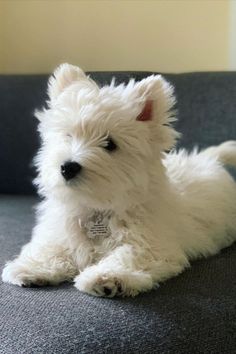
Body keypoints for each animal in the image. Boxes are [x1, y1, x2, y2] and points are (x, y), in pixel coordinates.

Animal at [1, 63, 236, 296]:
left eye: (110, 144)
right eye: (68, 135)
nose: (68, 167)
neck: (97, 208)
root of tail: (208, 158)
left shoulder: (151, 243)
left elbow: (130, 254)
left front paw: (107, 277)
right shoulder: (60, 233)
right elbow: (51, 248)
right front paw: (31, 267)